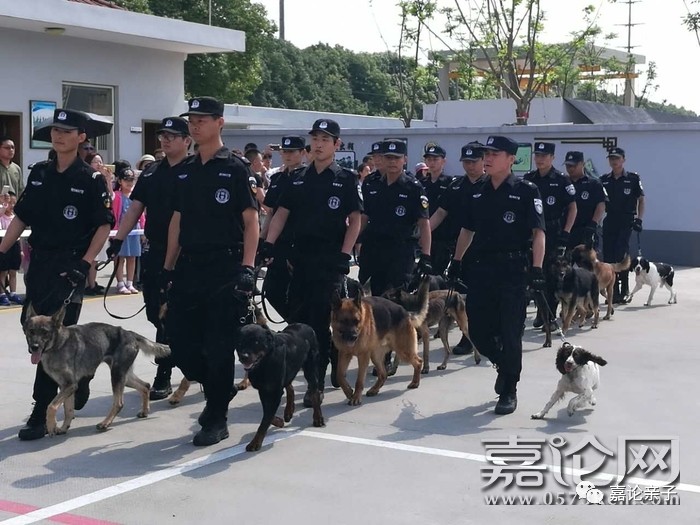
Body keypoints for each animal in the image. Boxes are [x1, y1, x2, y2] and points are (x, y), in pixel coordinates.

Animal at [23, 302, 171, 434]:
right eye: (31, 331)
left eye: (45, 332)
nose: (34, 347)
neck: (59, 344)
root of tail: (129, 333)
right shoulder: (66, 387)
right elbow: (68, 409)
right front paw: (64, 427)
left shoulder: (70, 385)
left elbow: (51, 406)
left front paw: (51, 425)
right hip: (125, 377)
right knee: (145, 386)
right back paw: (145, 411)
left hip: (116, 375)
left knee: (119, 403)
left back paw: (105, 423)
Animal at [330, 274, 430, 406]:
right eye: (343, 321)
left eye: (356, 321)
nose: (354, 337)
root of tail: (406, 313)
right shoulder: (344, 353)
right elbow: (340, 376)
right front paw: (349, 392)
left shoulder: (363, 356)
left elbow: (359, 381)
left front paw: (356, 397)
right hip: (375, 355)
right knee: (383, 374)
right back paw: (374, 390)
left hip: (403, 351)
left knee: (418, 362)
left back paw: (415, 382)